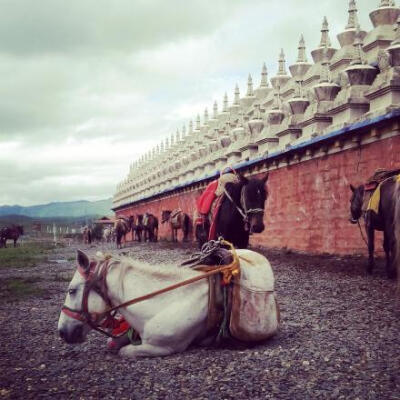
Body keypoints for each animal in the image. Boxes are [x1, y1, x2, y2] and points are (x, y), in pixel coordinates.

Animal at [58, 248, 278, 358]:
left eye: (72, 290)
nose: (62, 331)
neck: (162, 302)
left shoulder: (163, 348)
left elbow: (124, 352)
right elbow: (114, 342)